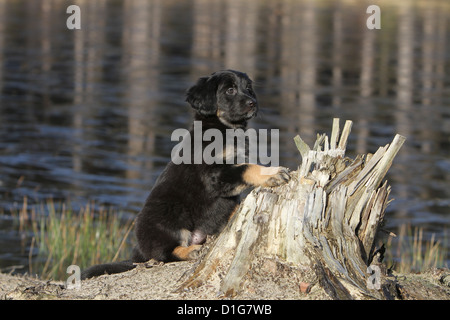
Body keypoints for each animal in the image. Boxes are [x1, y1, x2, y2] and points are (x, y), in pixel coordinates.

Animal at [82, 70, 290, 280]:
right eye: (230, 90)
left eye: (248, 88)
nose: (253, 103)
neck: (226, 130)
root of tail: (138, 252)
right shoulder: (214, 175)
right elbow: (248, 168)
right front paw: (273, 173)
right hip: (170, 214)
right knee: (164, 253)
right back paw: (190, 251)